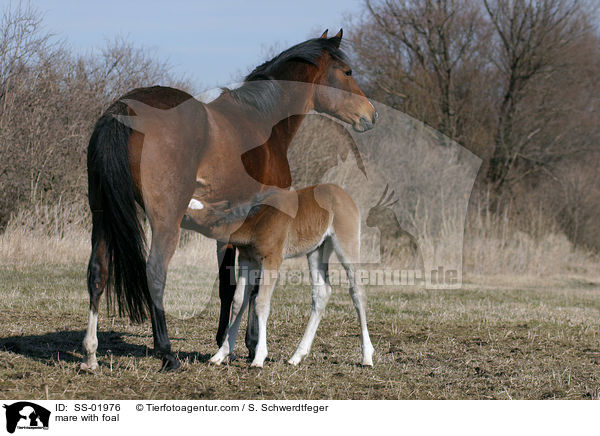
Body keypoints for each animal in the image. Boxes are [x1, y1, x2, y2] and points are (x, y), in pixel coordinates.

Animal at [185, 182, 376, 366]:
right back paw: (297, 356)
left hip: (346, 244)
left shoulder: (272, 259)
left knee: (358, 292)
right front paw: (221, 354)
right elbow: (239, 302)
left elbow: (261, 302)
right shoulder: (247, 260)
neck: (255, 220)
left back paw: (367, 356)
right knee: (322, 293)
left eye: (188, 214)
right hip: (316, 249)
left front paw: (259, 358)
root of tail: (344, 194)